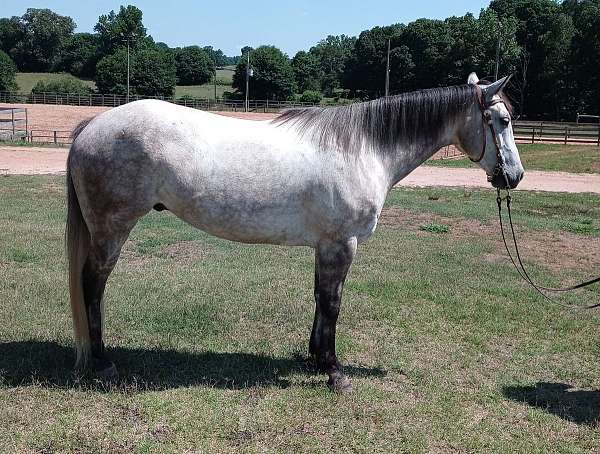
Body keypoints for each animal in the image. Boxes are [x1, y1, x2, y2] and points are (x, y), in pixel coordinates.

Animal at [65, 73, 524, 390]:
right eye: (501, 120)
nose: (515, 176)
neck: (364, 148)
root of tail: (92, 125)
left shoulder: (325, 246)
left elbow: (320, 299)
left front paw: (315, 359)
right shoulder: (341, 244)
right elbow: (334, 303)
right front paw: (335, 373)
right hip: (111, 231)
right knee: (92, 286)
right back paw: (104, 363)